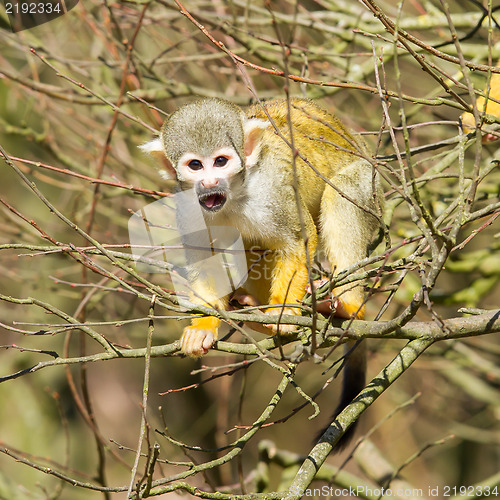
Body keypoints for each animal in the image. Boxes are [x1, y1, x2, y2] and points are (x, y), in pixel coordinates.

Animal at [143, 99, 384, 444]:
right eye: (195, 166)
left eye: (220, 161)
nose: (209, 183)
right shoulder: (188, 204)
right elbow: (204, 258)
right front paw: (204, 326)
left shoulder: (273, 193)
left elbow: (298, 239)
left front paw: (282, 314)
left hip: (368, 186)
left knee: (341, 195)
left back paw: (346, 306)